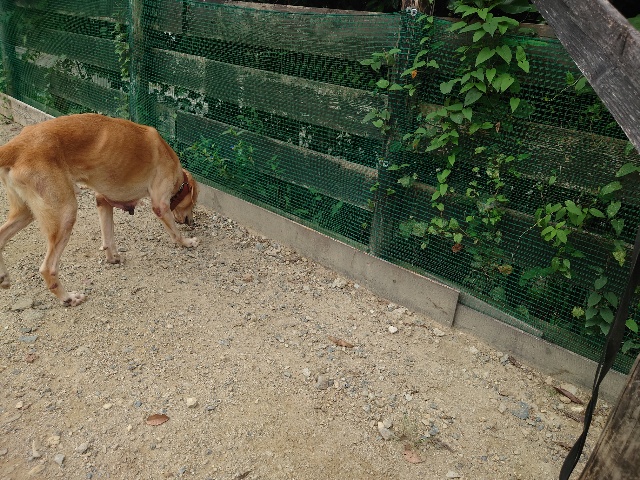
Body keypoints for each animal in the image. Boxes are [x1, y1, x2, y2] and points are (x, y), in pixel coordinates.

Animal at [0, 113, 199, 306]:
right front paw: (187, 242)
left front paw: (113, 258)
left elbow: (108, 236)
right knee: (48, 268)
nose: (192, 223)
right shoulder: (161, 206)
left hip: (26, 213)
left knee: (2, 237)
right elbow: (175, 232)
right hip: (66, 213)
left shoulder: (103, 201)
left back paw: (3, 277)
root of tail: (16, 146)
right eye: (193, 203)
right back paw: (68, 298)